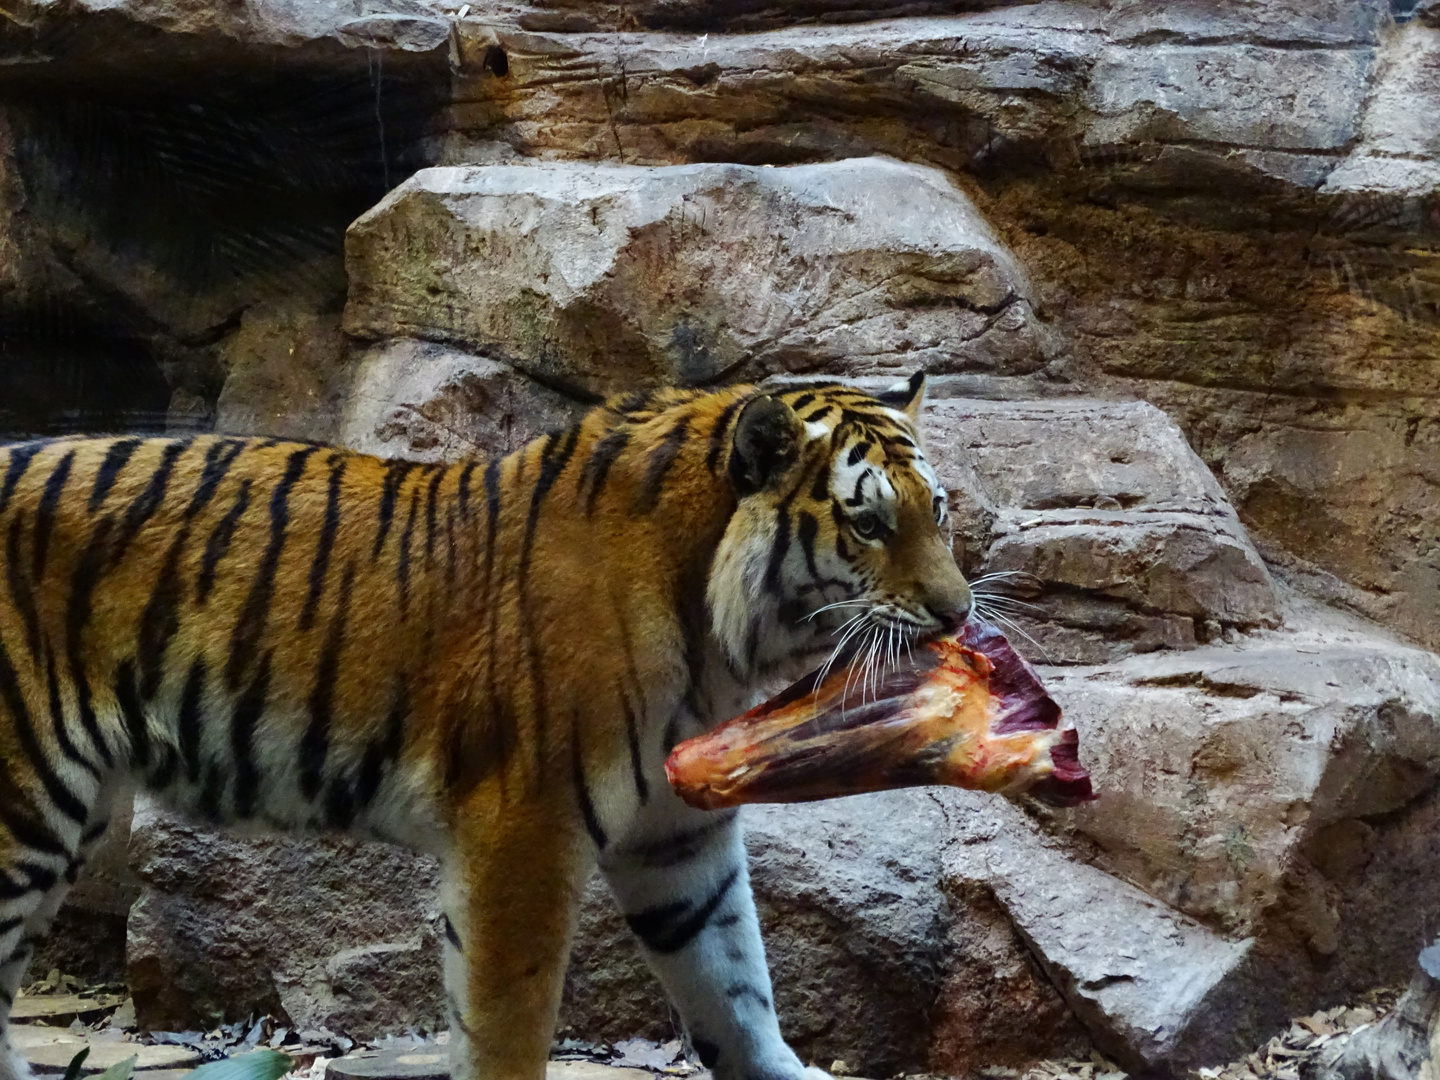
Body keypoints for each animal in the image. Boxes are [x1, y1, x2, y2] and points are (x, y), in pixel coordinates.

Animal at [0, 371, 973, 1080]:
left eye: (938, 511)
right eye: (867, 522)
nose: (960, 613)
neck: (716, 635)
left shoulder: (676, 840)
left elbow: (737, 988)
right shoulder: (524, 832)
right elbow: (510, 1025)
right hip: (25, 808)